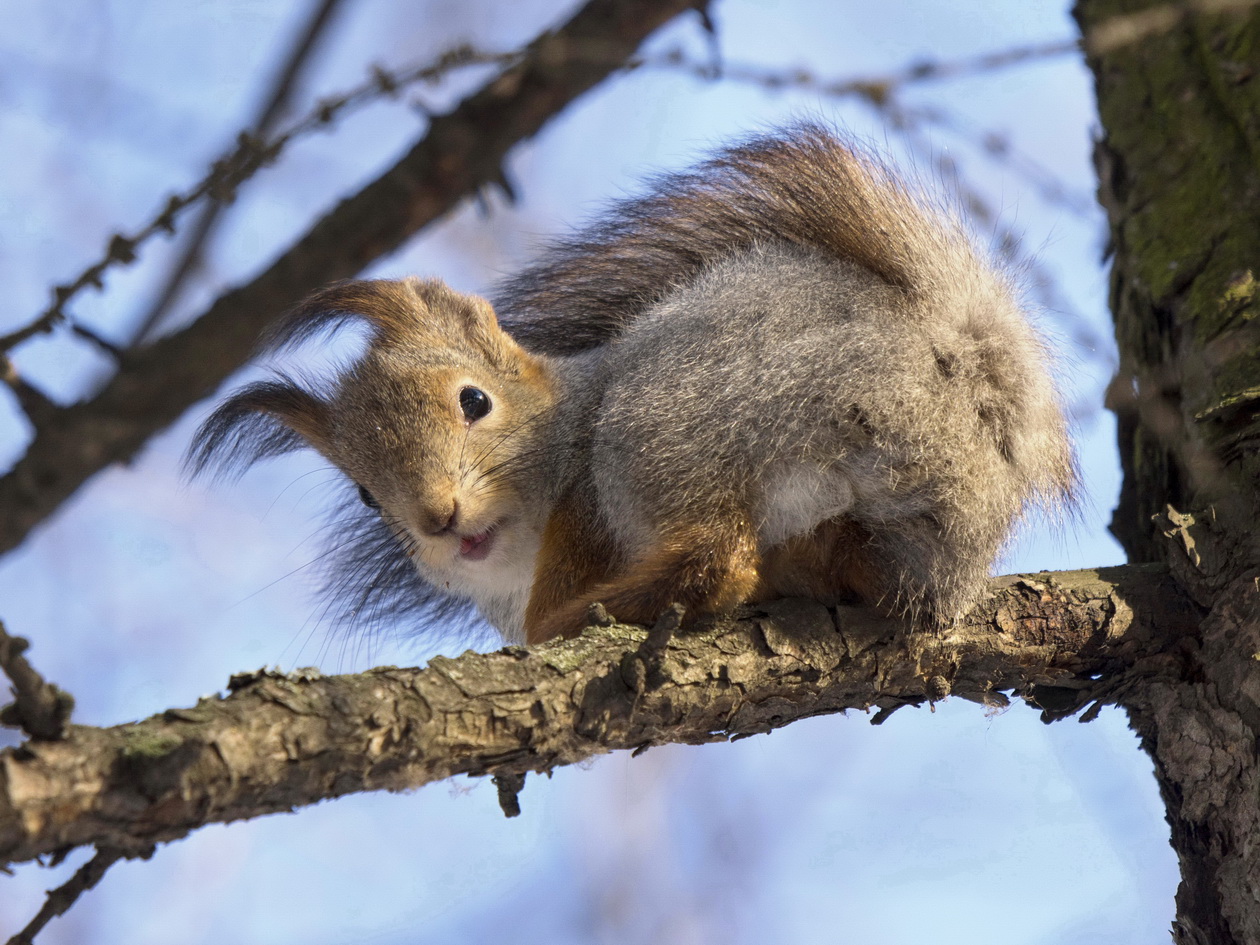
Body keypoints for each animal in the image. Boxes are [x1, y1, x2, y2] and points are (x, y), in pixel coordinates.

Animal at [191, 124, 1078, 645]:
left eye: (474, 400)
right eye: (367, 496)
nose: (438, 518)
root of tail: (952, 379)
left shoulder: (585, 499)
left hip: (661, 428)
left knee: (717, 556)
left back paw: (580, 616)